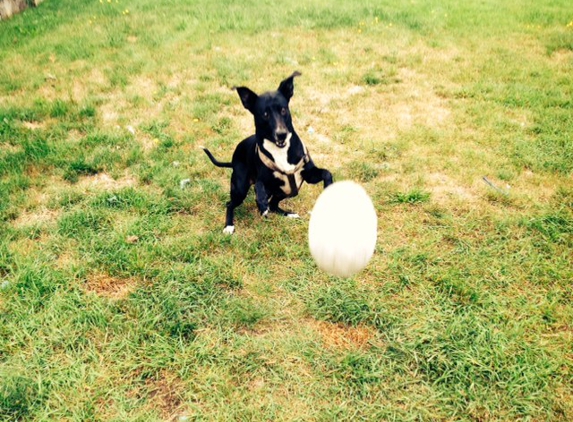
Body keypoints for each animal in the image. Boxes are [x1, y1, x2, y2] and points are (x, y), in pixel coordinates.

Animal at [204, 70, 330, 232]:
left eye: (283, 110)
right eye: (264, 114)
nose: (281, 134)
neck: (280, 150)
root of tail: (233, 159)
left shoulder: (307, 175)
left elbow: (326, 173)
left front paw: (328, 187)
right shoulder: (263, 179)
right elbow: (259, 186)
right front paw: (261, 204)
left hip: (286, 191)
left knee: (274, 204)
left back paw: (288, 214)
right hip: (240, 188)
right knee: (231, 204)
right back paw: (229, 226)